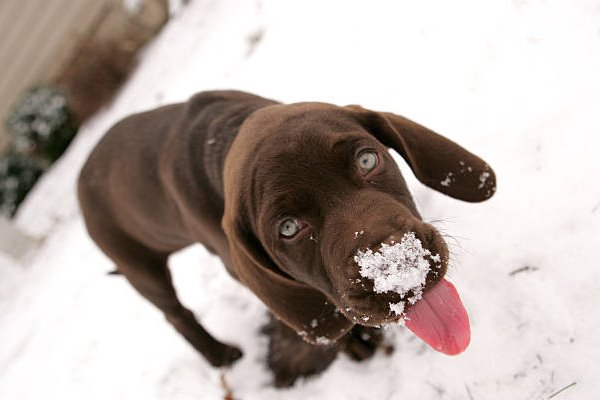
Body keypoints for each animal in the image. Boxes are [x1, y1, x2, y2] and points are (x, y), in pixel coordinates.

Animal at [77, 90, 494, 384]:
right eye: (289, 228)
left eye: (367, 160)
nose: (400, 267)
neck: (222, 137)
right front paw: (356, 345)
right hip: (136, 261)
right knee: (176, 315)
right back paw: (220, 355)